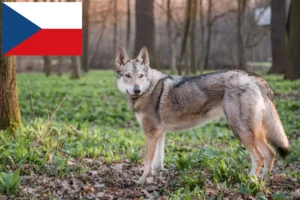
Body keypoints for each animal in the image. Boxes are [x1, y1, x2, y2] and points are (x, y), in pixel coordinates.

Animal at [115, 46, 288, 184]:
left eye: (141, 76)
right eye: (128, 76)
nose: (137, 90)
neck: (148, 90)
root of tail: (253, 76)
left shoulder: (151, 134)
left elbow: (147, 163)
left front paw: (141, 182)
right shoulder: (160, 133)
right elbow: (158, 161)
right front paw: (155, 177)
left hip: (240, 131)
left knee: (259, 157)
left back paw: (249, 181)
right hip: (255, 133)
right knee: (270, 154)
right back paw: (262, 182)